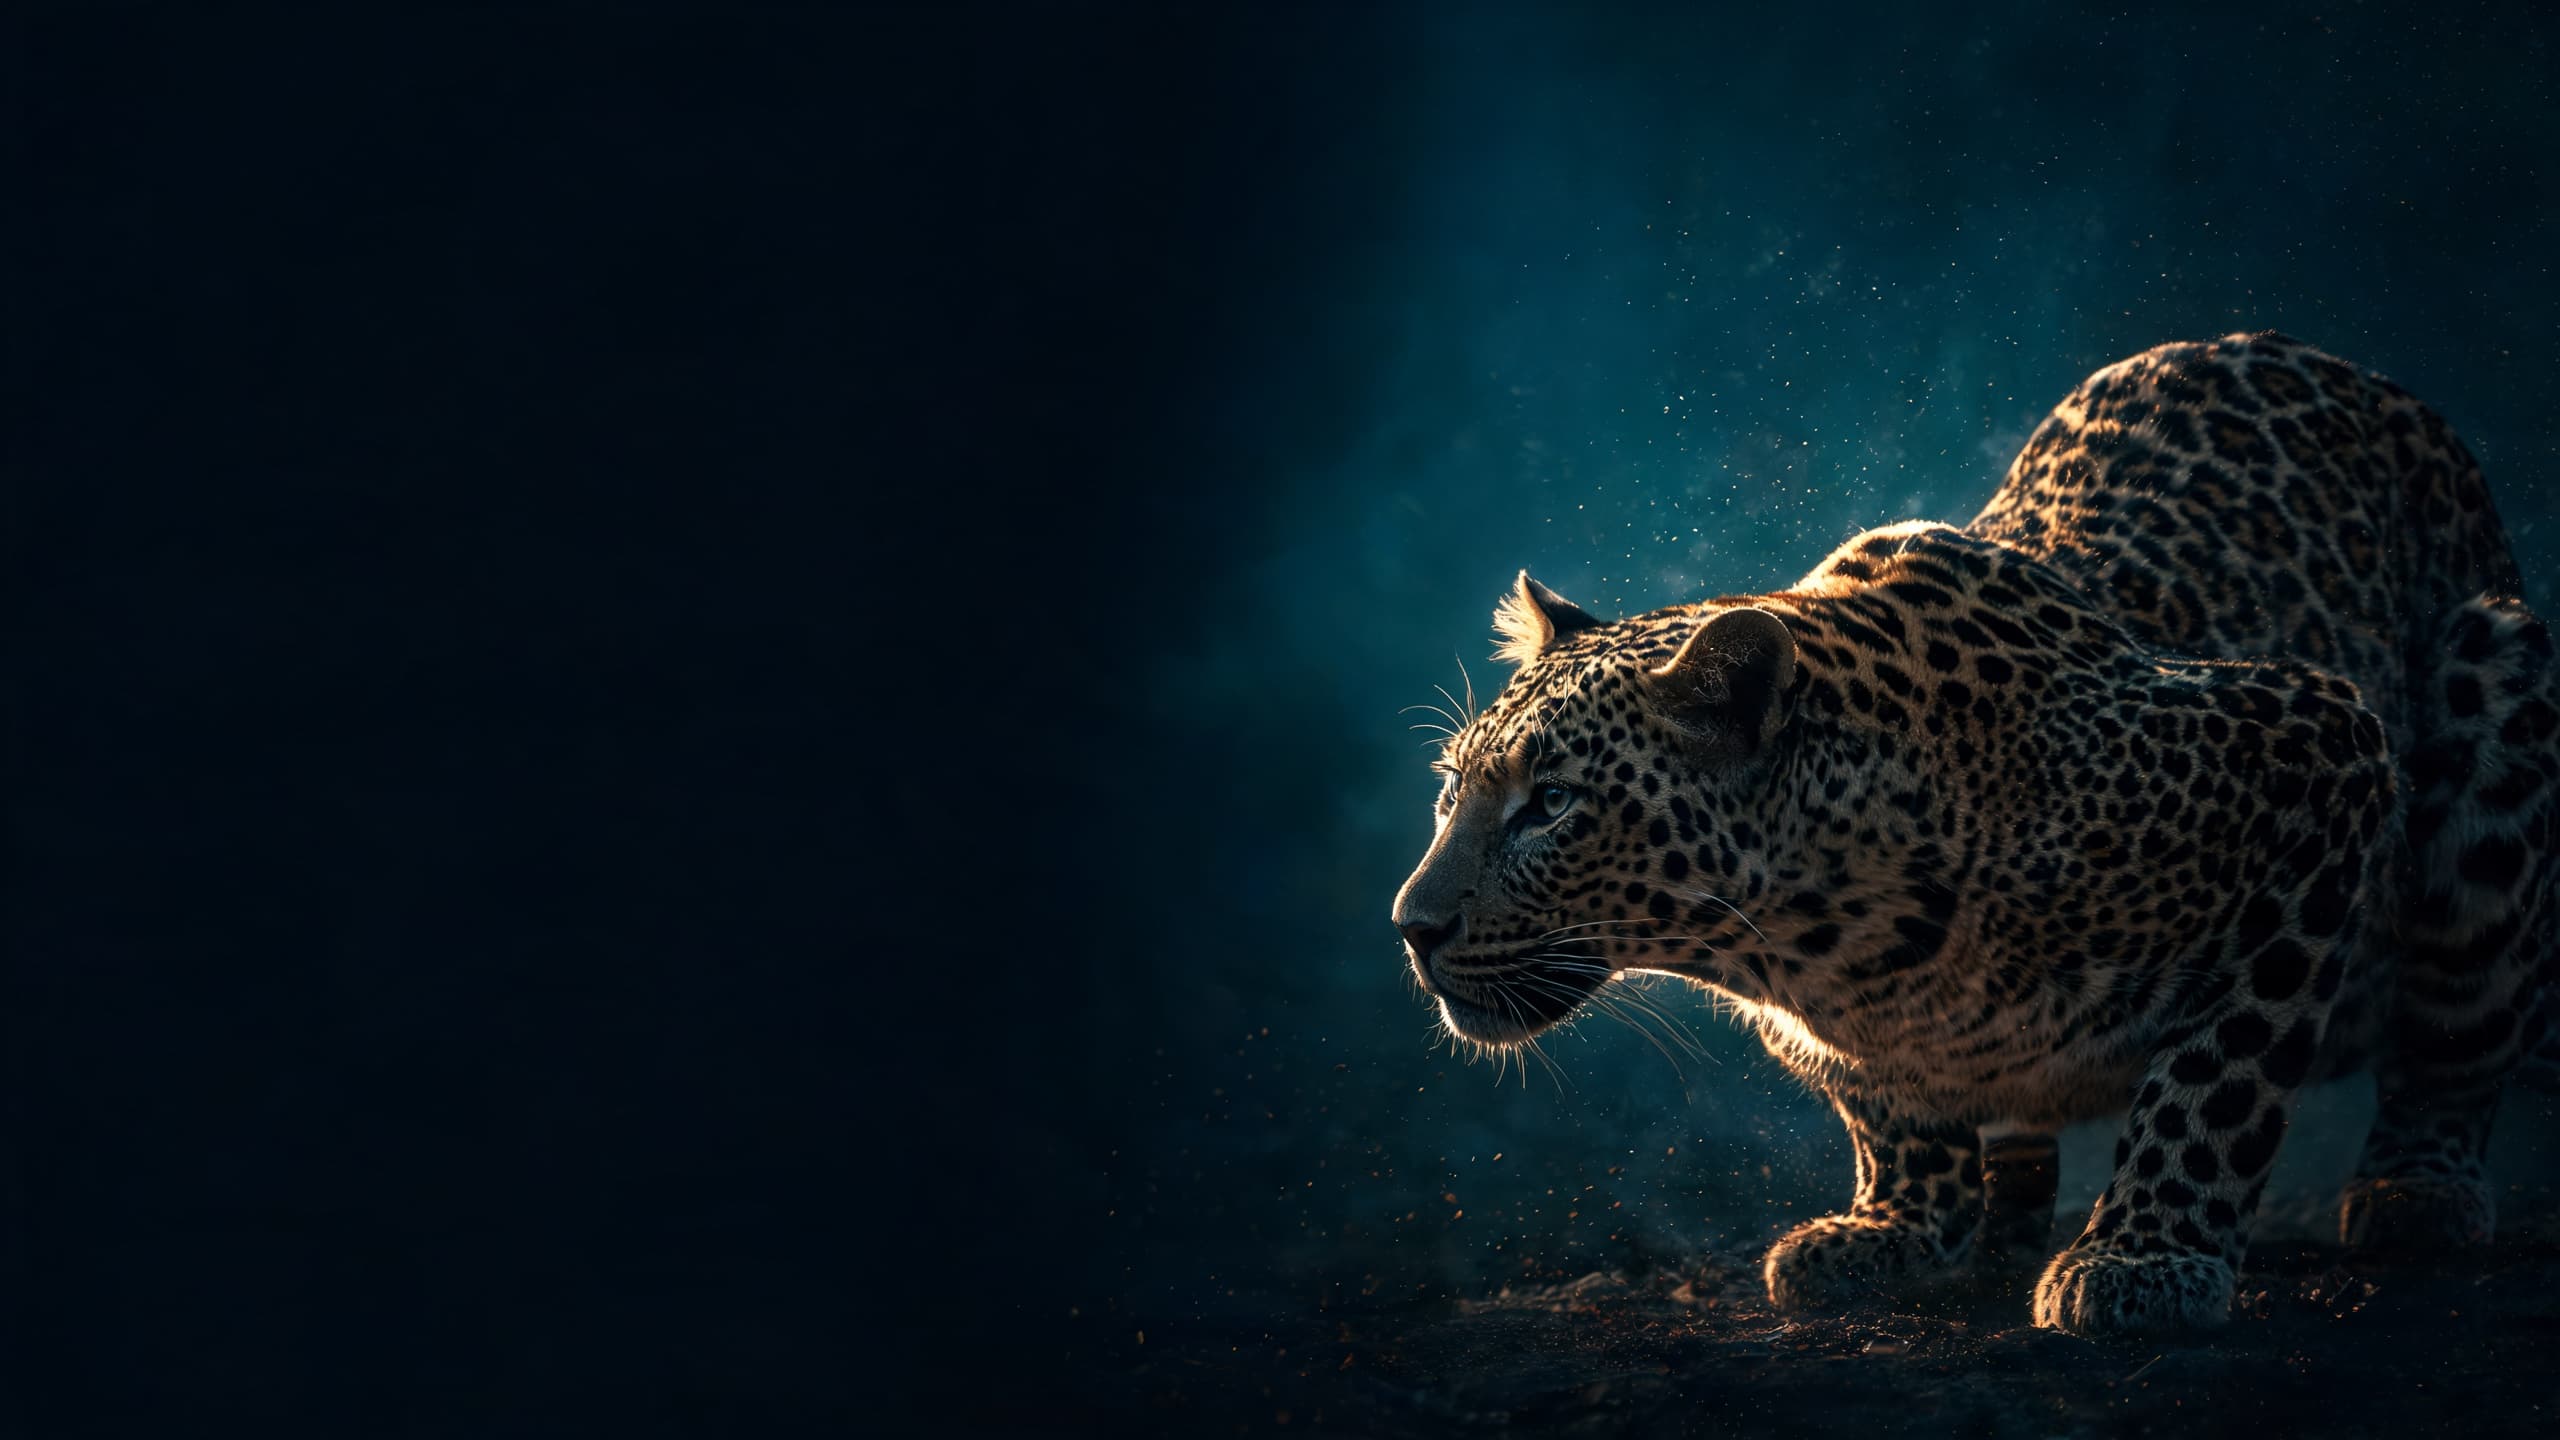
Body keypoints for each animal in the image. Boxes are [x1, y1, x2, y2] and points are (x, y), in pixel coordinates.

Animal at [1390, 332, 2558, 1335]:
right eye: (1451, 794)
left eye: (1550, 804)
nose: (1410, 926)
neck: (1822, 934)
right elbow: (1888, 1102)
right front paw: (1901, 1225)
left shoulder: (2314, 747)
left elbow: (2218, 1073)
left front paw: (2142, 1257)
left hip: (2493, 677)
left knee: (2457, 1034)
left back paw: (2416, 1189)